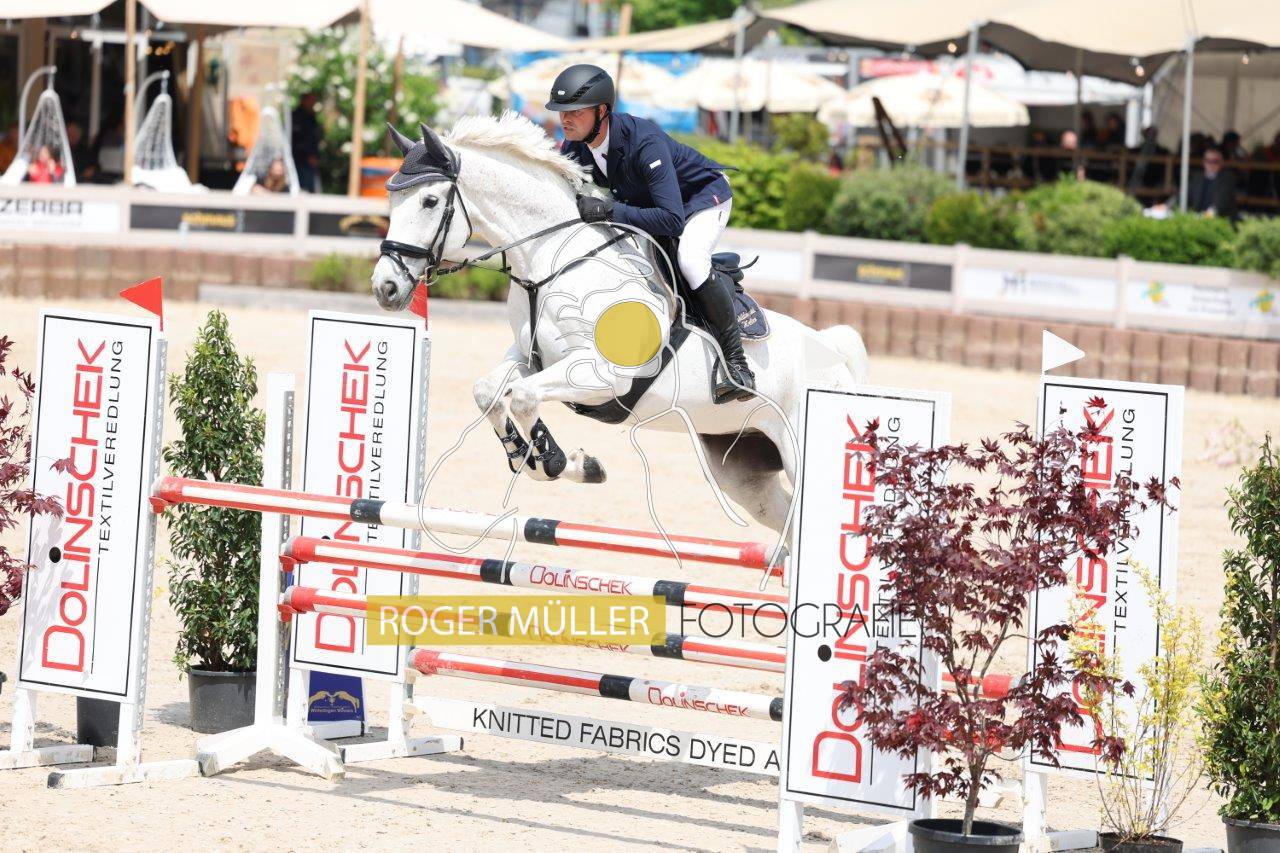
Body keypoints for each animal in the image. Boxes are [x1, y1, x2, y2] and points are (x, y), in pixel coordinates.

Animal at [370, 112, 867, 537]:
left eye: (429, 201)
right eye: (392, 197)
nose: (386, 287)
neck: (551, 259)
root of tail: (834, 355)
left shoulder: (604, 374)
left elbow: (524, 396)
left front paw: (556, 461)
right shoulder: (533, 357)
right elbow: (490, 392)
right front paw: (545, 461)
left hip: (800, 451)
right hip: (740, 465)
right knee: (783, 522)